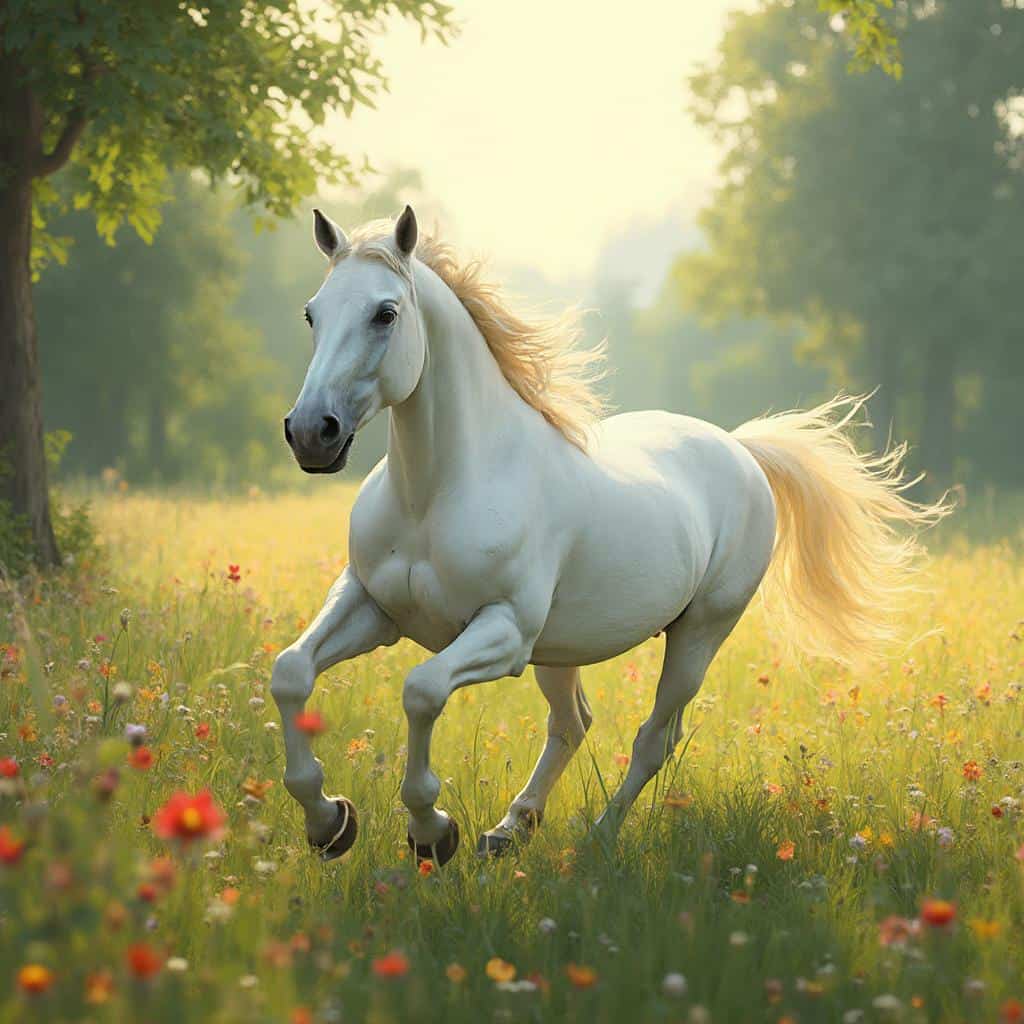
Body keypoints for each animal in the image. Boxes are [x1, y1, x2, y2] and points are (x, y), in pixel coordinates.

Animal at [271, 205, 945, 865]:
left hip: (698, 634)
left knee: (654, 739)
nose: (310, 433)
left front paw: (431, 833)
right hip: (560, 649)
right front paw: (329, 824)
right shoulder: (371, 604)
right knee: (573, 723)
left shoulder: (504, 632)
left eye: (385, 313)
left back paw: (596, 840)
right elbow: (291, 672)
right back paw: (509, 830)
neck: (434, 494)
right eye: (311, 312)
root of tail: (740, 449)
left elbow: (421, 691)